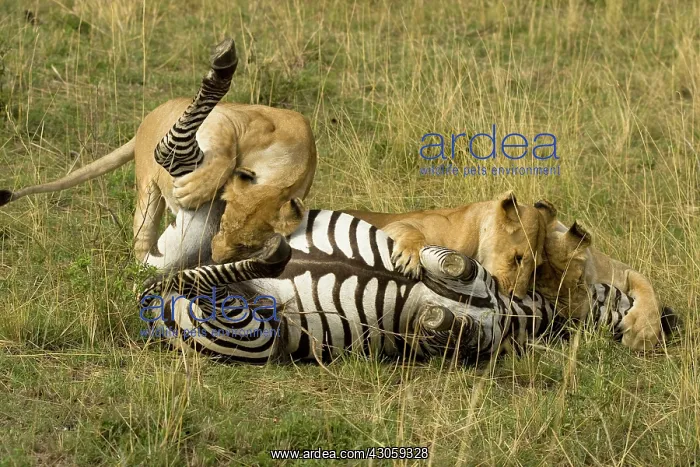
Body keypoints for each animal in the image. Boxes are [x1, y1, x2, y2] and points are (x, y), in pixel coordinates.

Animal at [0, 38, 316, 266]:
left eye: (247, 247)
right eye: (224, 223)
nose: (215, 256)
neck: (287, 172)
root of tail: (145, 122)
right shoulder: (231, 118)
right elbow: (225, 151)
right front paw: (196, 188)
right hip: (146, 198)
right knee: (142, 246)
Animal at [343, 191, 554, 299]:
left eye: (536, 268)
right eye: (518, 258)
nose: (517, 298)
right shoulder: (395, 223)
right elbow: (414, 233)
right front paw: (410, 259)